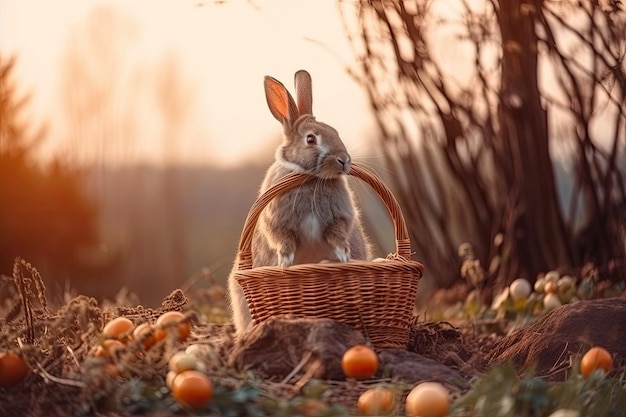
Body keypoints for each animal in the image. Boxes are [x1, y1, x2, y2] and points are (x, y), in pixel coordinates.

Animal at [225, 69, 368, 334]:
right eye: (311, 140)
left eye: (336, 132)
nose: (344, 160)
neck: (311, 178)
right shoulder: (277, 222)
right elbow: (283, 240)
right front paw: (285, 263)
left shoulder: (338, 219)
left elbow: (337, 234)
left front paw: (343, 256)